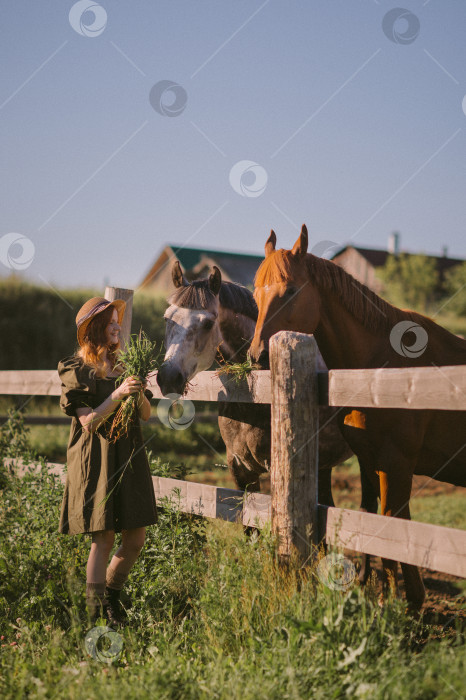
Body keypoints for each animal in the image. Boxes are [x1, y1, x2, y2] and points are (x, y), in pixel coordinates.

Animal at [251, 227, 466, 608]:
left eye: (290, 291)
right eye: (254, 292)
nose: (256, 354)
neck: (384, 368)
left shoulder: (396, 464)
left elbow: (393, 523)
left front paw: (404, 602)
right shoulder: (371, 461)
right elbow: (373, 521)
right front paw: (391, 595)